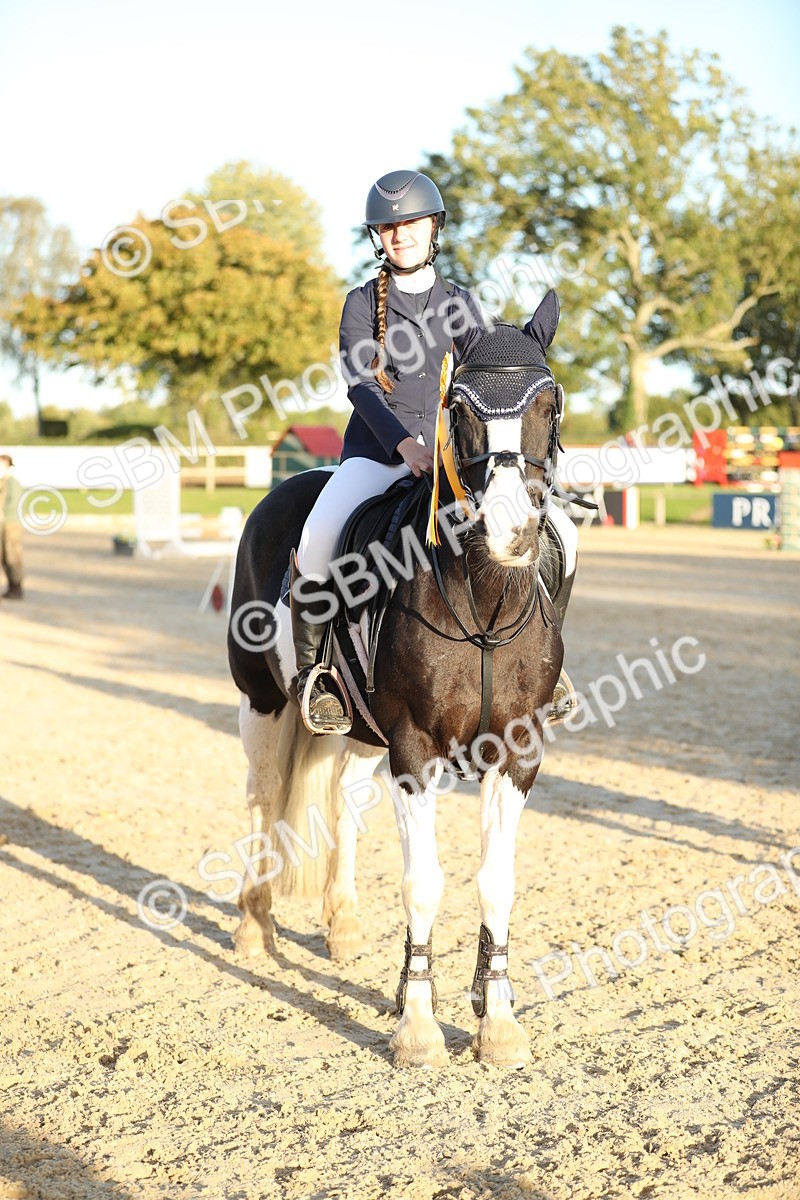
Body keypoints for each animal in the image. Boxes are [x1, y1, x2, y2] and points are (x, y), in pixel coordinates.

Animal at [227, 289, 569, 1069]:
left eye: (549, 403)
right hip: (262, 701)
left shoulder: (518, 751)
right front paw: (417, 1026)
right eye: (461, 407)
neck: (483, 595)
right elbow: (424, 883)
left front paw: (497, 1020)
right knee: (263, 795)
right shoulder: (415, 749)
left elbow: (495, 882)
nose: (511, 531)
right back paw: (255, 927)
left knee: (344, 803)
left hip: (357, 727)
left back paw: (344, 926)